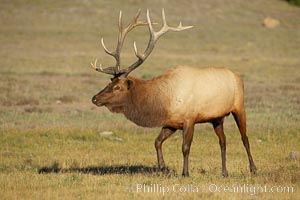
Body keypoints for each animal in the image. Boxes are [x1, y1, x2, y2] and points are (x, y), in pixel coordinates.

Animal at [91, 9, 255, 177]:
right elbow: (157, 142)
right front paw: (164, 168)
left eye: (117, 87)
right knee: (223, 141)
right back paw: (224, 172)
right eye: (109, 82)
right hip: (217, 117)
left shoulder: (189, 119)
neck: (163, 101)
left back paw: (253, 169)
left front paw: (185, 172)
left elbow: (185, 147)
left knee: (245, 138)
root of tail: (238, 77)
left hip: (239, 107)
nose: (95, 98)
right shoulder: (171, 123)